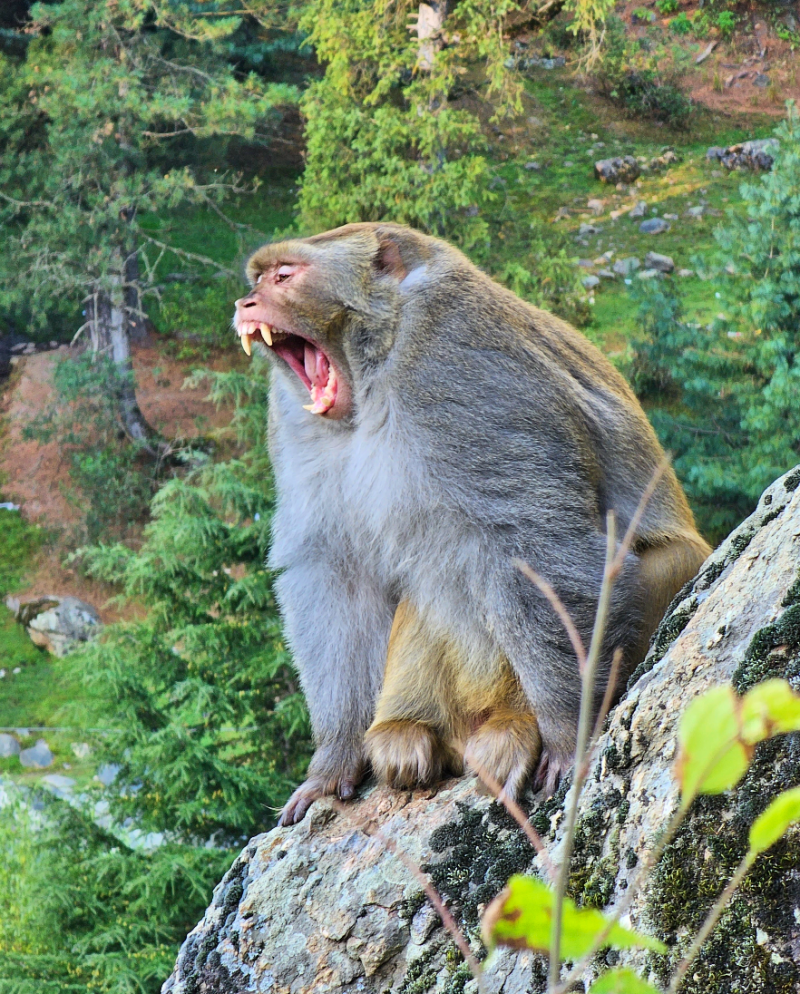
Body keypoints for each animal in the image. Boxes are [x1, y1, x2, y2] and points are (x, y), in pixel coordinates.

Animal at [232, 222, 711, 827]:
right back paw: (405, 729)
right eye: (258, 279)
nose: (245, 303)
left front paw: (566, 733)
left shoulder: (457, 369)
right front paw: (334, 759)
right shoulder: (292, 418)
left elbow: (533, 543)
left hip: (680, 570)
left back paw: (514, 724)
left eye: (284, 276)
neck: (376, 369)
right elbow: (336, 571)